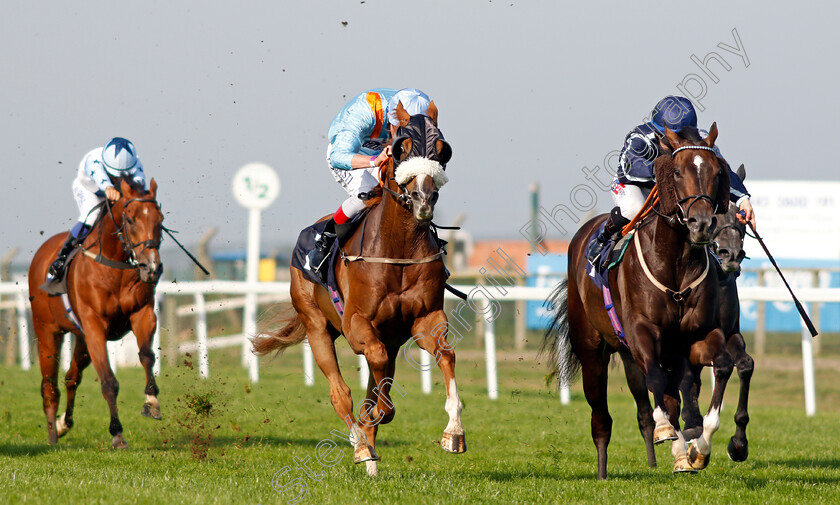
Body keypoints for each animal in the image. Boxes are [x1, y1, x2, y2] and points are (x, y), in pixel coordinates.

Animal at [28, 179, 163, 446]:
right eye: (130, 219)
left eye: (160, 220)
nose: (152, 267)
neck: (114, 265)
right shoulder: (94, 326)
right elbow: (109, 381)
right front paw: (117, 434)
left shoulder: (142, 314)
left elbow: (146, 355)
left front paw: (152, 401)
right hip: (48, 332)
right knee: (49, 386)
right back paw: (52, 437)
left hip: (81, 339)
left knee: (71, 377)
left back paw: (63, 424)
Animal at [253, 103, 460, 476]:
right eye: (401, 147)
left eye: (442, 149)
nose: (424, 199)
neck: (398, 249)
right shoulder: (356, 324)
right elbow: (373, 385)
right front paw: (373, 424)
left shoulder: (424, 320)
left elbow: (445, 356)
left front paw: (454, 433)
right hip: (317, 326)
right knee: (341, 394)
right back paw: (362, 448)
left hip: (389, 339)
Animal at [544, 124, 736, 478]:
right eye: (677, 171)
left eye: (717, 172)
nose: (701, 224)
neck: (674, 262)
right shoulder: (643, 332)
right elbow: (657, 382)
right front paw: (666, 431)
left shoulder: (697, 336)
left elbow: (722, 366)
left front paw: (698, 450)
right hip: (592, 350)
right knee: (601, 417)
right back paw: (603, 471)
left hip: (634, 354)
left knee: (659, 400)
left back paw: (675, 454)